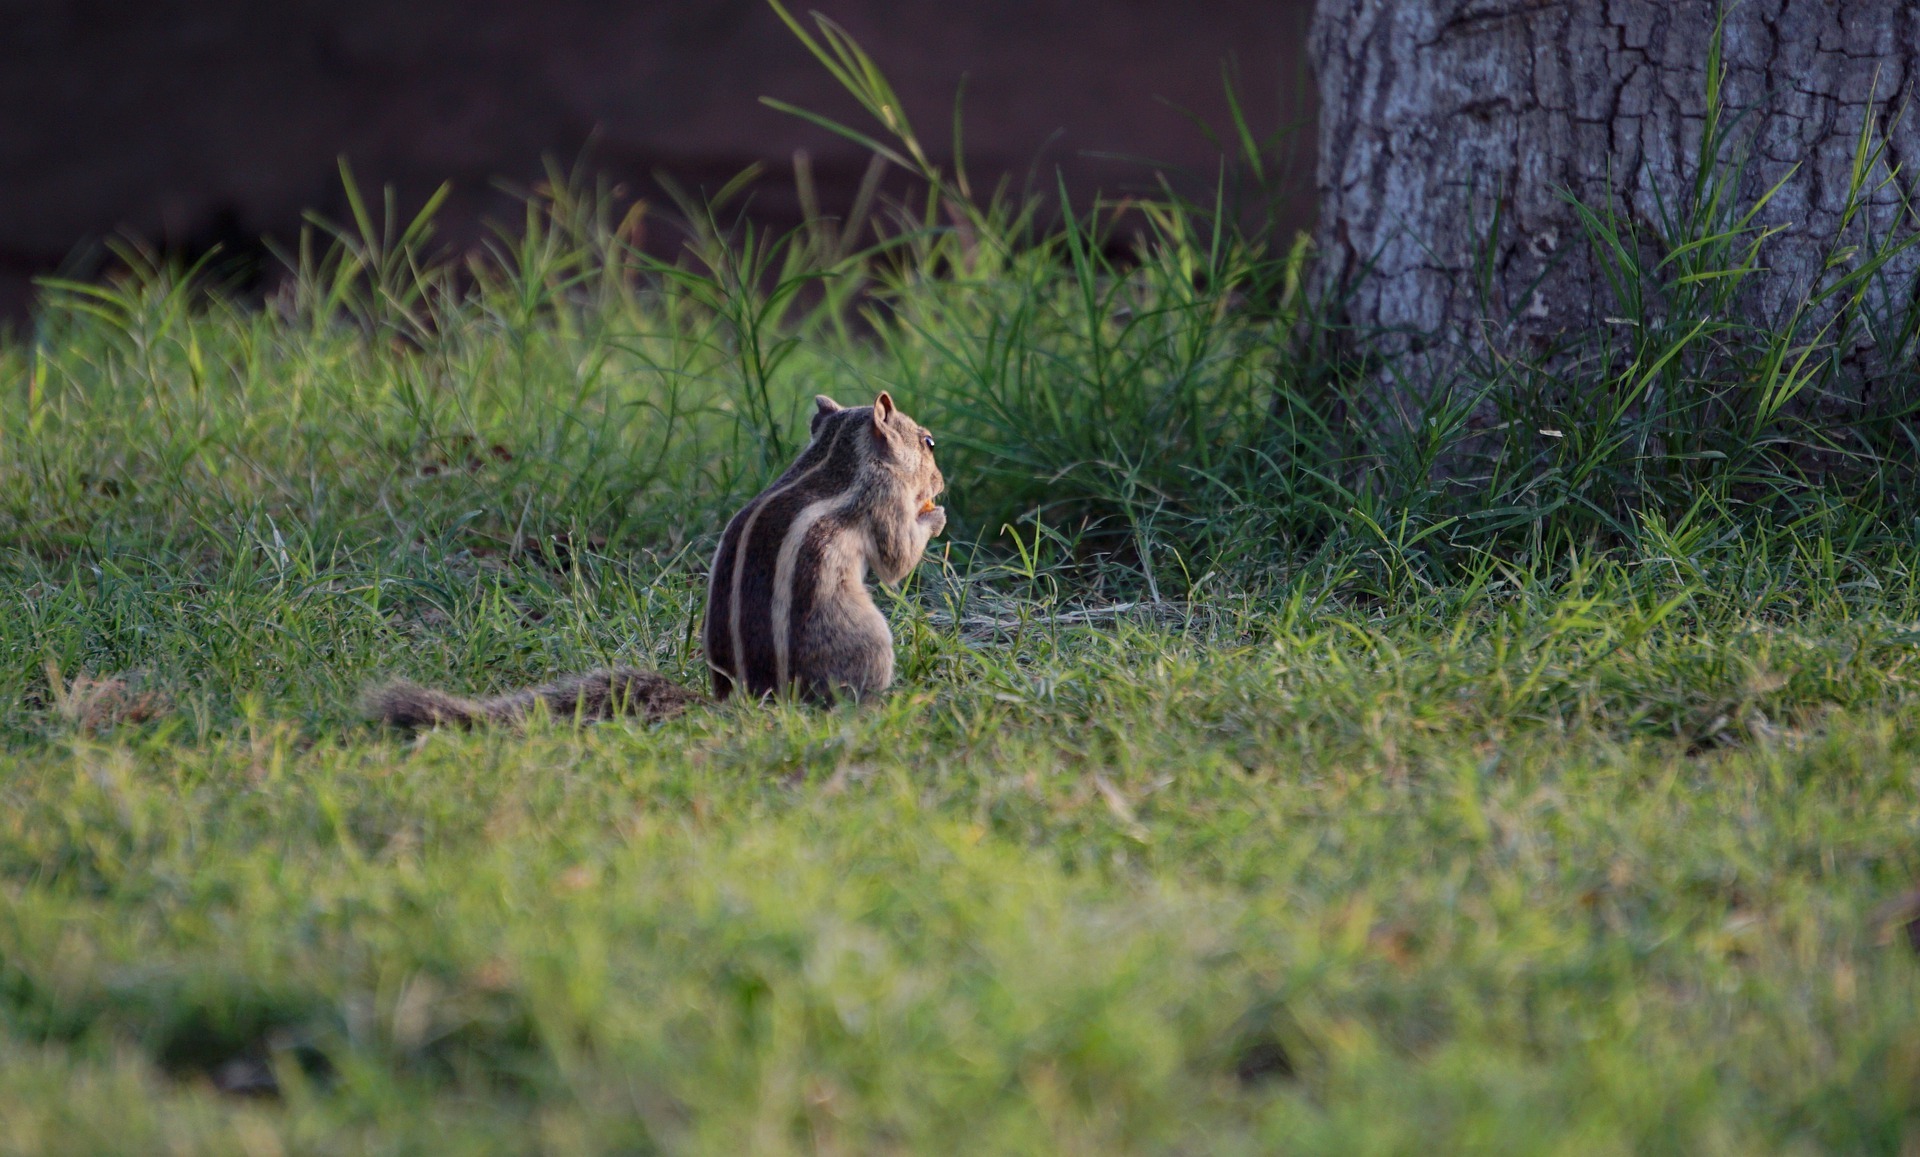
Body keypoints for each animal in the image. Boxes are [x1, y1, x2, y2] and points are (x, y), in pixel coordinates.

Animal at [366, 391, 944, 732]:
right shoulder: (882, 500)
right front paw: (933, 520)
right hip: (866, 638)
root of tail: (755, 699)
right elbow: (895, 559)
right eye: (929, 442)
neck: (836, 456)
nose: (940, 484)